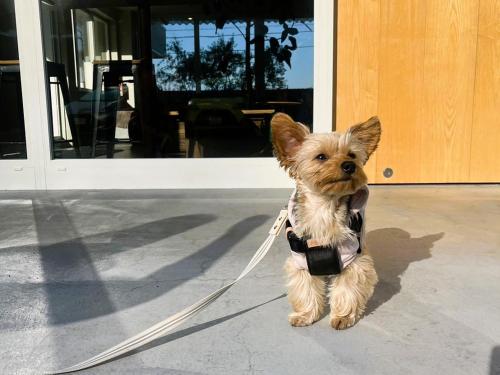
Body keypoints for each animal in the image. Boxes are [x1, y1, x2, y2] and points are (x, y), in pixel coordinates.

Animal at [272, 113, 380, 330]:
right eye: (321, 157)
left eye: (352, 155)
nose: (349, 165)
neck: (325, 206)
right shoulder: (300, 262)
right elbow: (305, 289)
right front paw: (305, 315)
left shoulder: (352, 259)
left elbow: (347, 289)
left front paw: (343, 317)